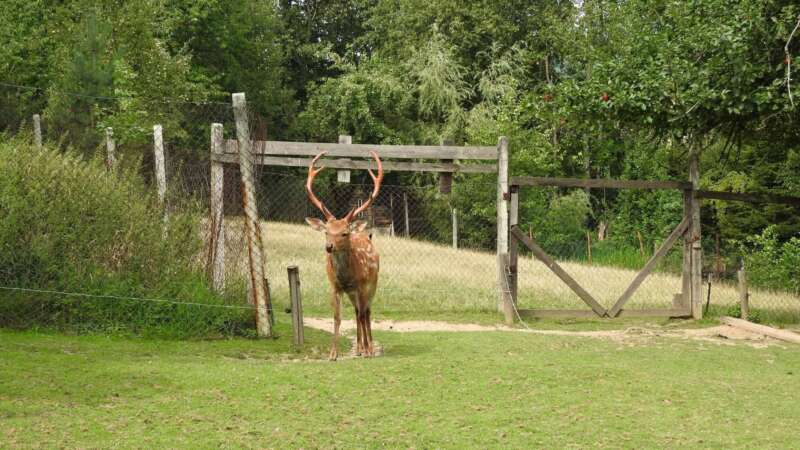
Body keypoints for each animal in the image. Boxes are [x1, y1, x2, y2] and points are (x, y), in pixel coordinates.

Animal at [304, 149, 384, 360]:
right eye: (326, 231)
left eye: (344, 233)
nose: (329, 246)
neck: (347, 276)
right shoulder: (335, 286)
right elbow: (337, 317)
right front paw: (333, 354)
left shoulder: (363, 285)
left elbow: (364, 315)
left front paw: (369, 350)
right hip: (352, 293)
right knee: (357, 312)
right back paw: (359, 348)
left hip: (372, 284)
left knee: (366, 312)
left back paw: (367, 348)